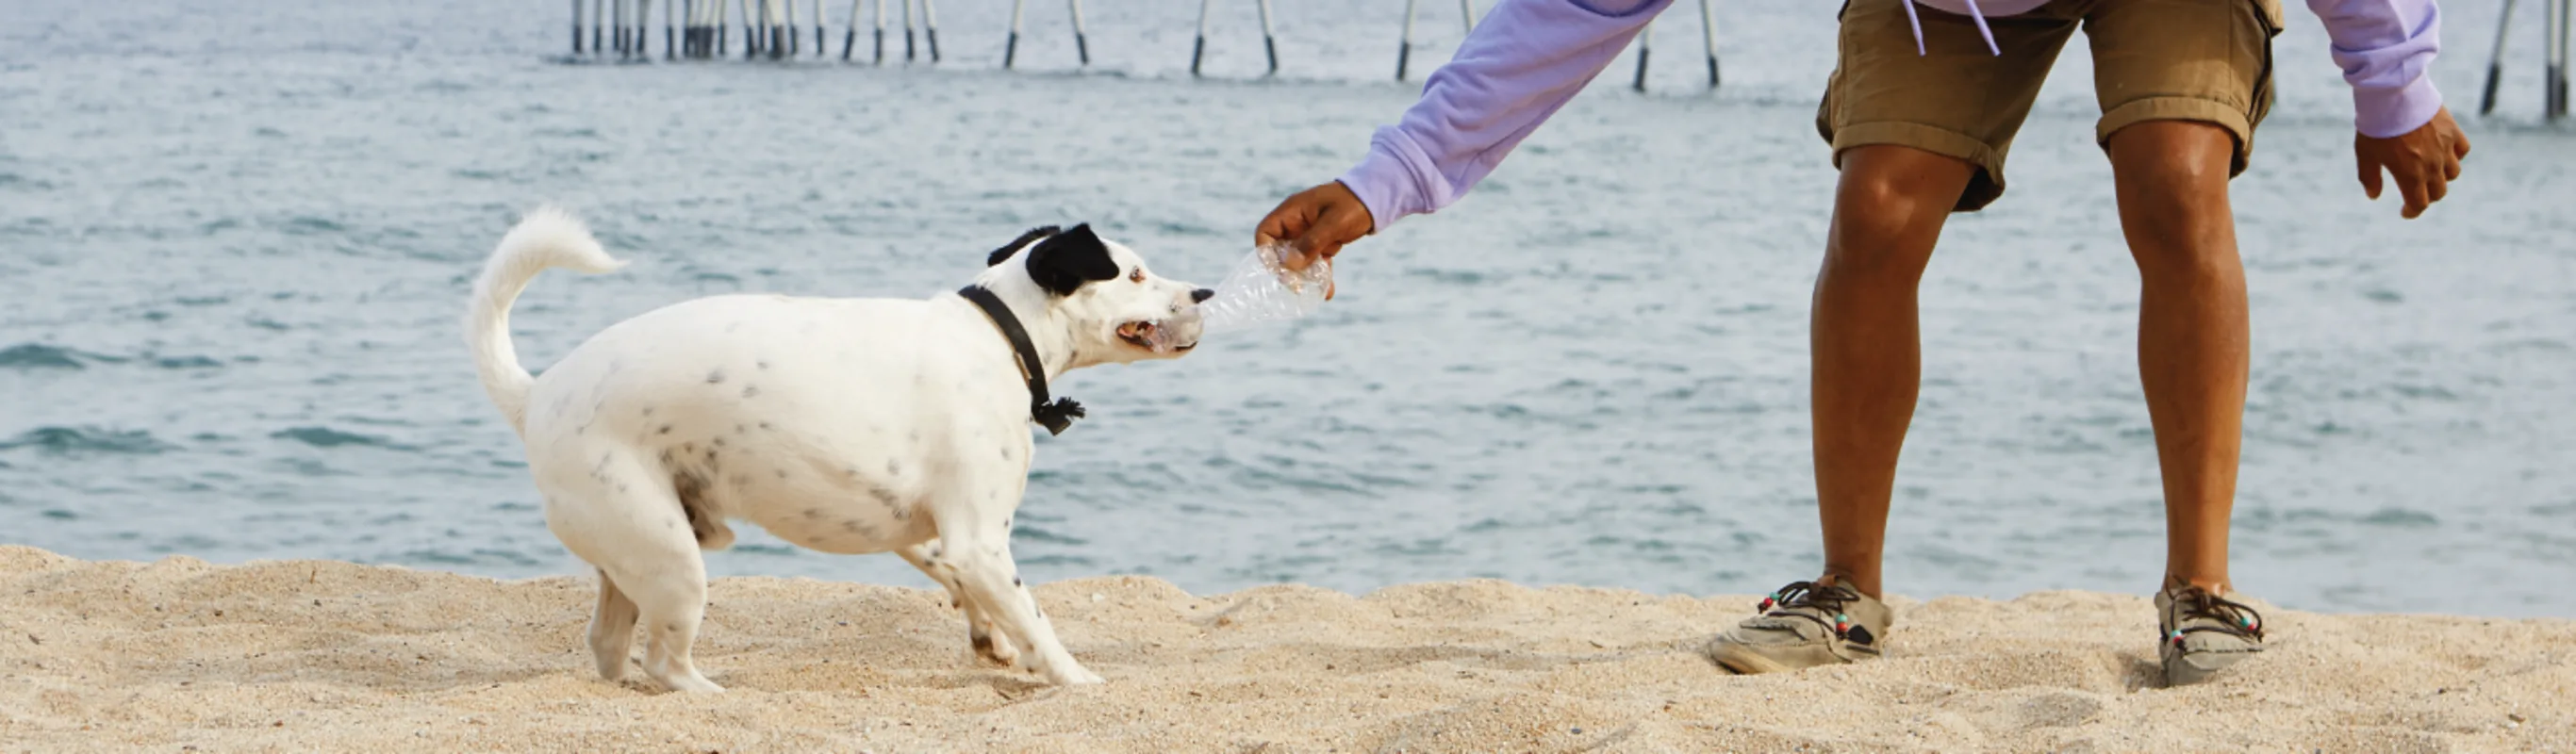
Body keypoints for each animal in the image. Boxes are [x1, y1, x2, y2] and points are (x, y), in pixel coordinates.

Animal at [466, 208, 1205, 689]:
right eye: (1135, 274)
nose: (1204, 290)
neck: (1001, 336)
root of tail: (537, 392)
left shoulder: (934, 535)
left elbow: (969, 590)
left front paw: (992, 641)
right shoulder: (980, 540)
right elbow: (1037, 620)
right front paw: (1074, 678)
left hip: (639, 548)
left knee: (609, 647)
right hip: (673, 561)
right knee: (664, 663)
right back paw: (716, 694)